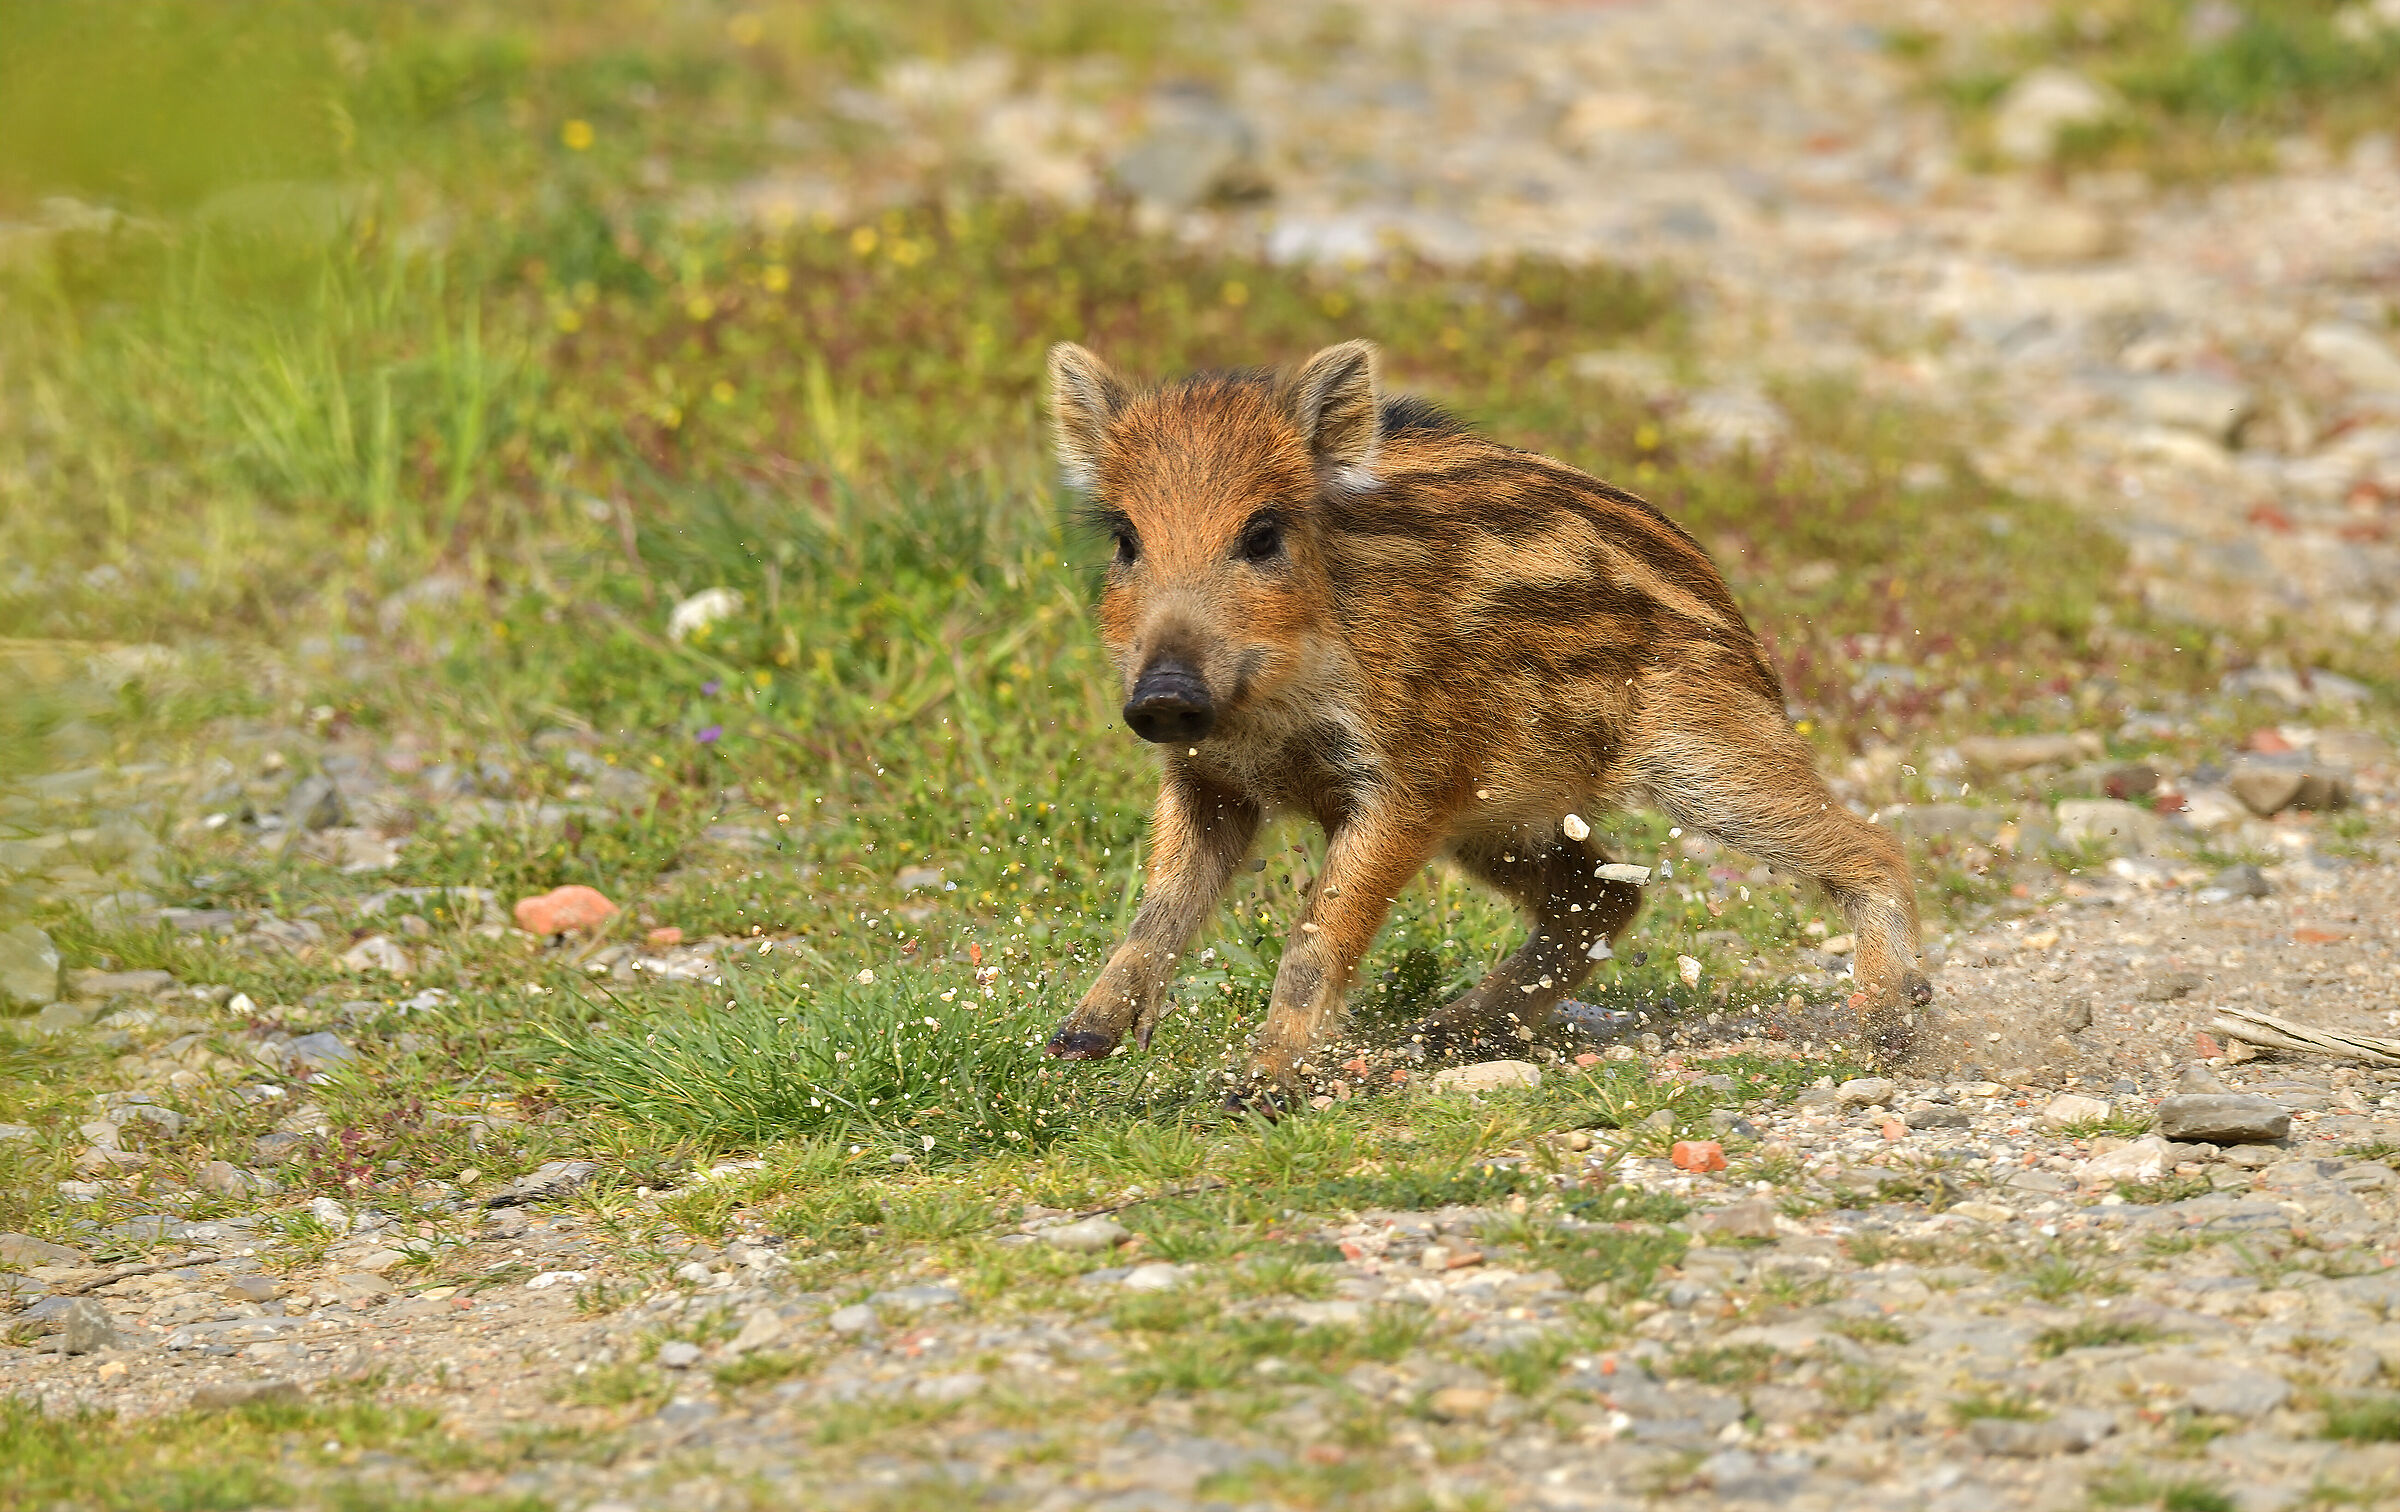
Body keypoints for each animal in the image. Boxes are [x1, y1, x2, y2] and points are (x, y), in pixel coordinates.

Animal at [1039, 339, 1930, 1105]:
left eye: (1262, 534)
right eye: (1125, 539)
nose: (1162, 694)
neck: (1271, 708)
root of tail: (1728, 607)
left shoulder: (1410, 782)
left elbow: (1321, 931)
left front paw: (1257, 1091)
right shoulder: (1209, 781)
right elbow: (1161, 905)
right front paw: (1077, 1042)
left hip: (1705, 751)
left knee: (1868, 844)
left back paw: (1893, 1027)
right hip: (1499, 817)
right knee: (1602, 896)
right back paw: (1447, 1035)